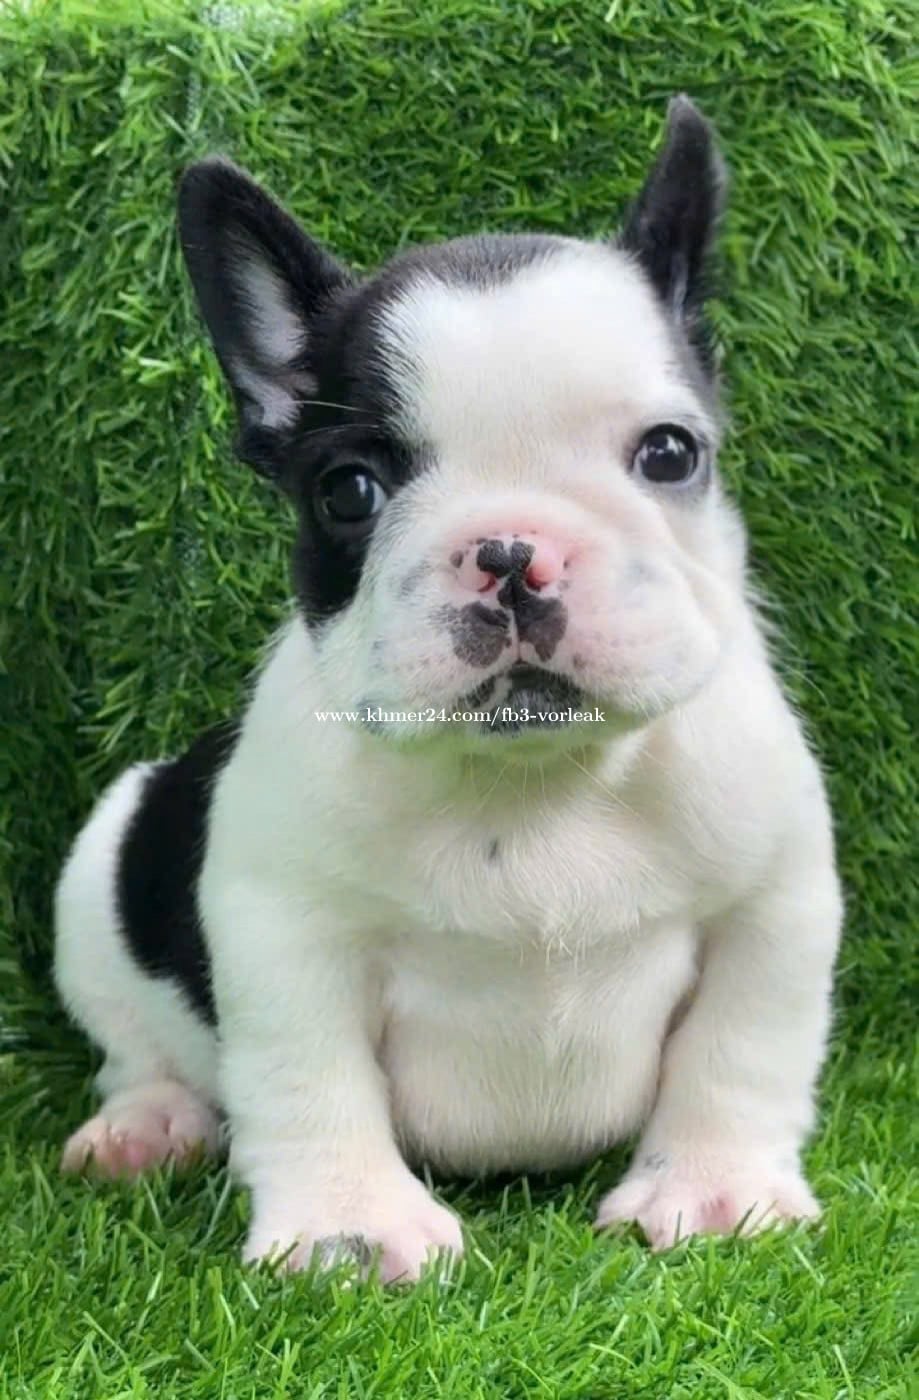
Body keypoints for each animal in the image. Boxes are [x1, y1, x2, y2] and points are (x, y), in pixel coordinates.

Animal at [54, 97, 842, 1281]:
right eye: (348, 490)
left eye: (669, 454)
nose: (512, 551)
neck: (538, 778)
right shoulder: (287, 933)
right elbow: (307, 1076)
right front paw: (346, 1225)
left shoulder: (772, 903)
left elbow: (740, 1050)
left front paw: (714, 1190)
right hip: (103, 869)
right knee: (135, 1047)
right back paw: (149, 1125)